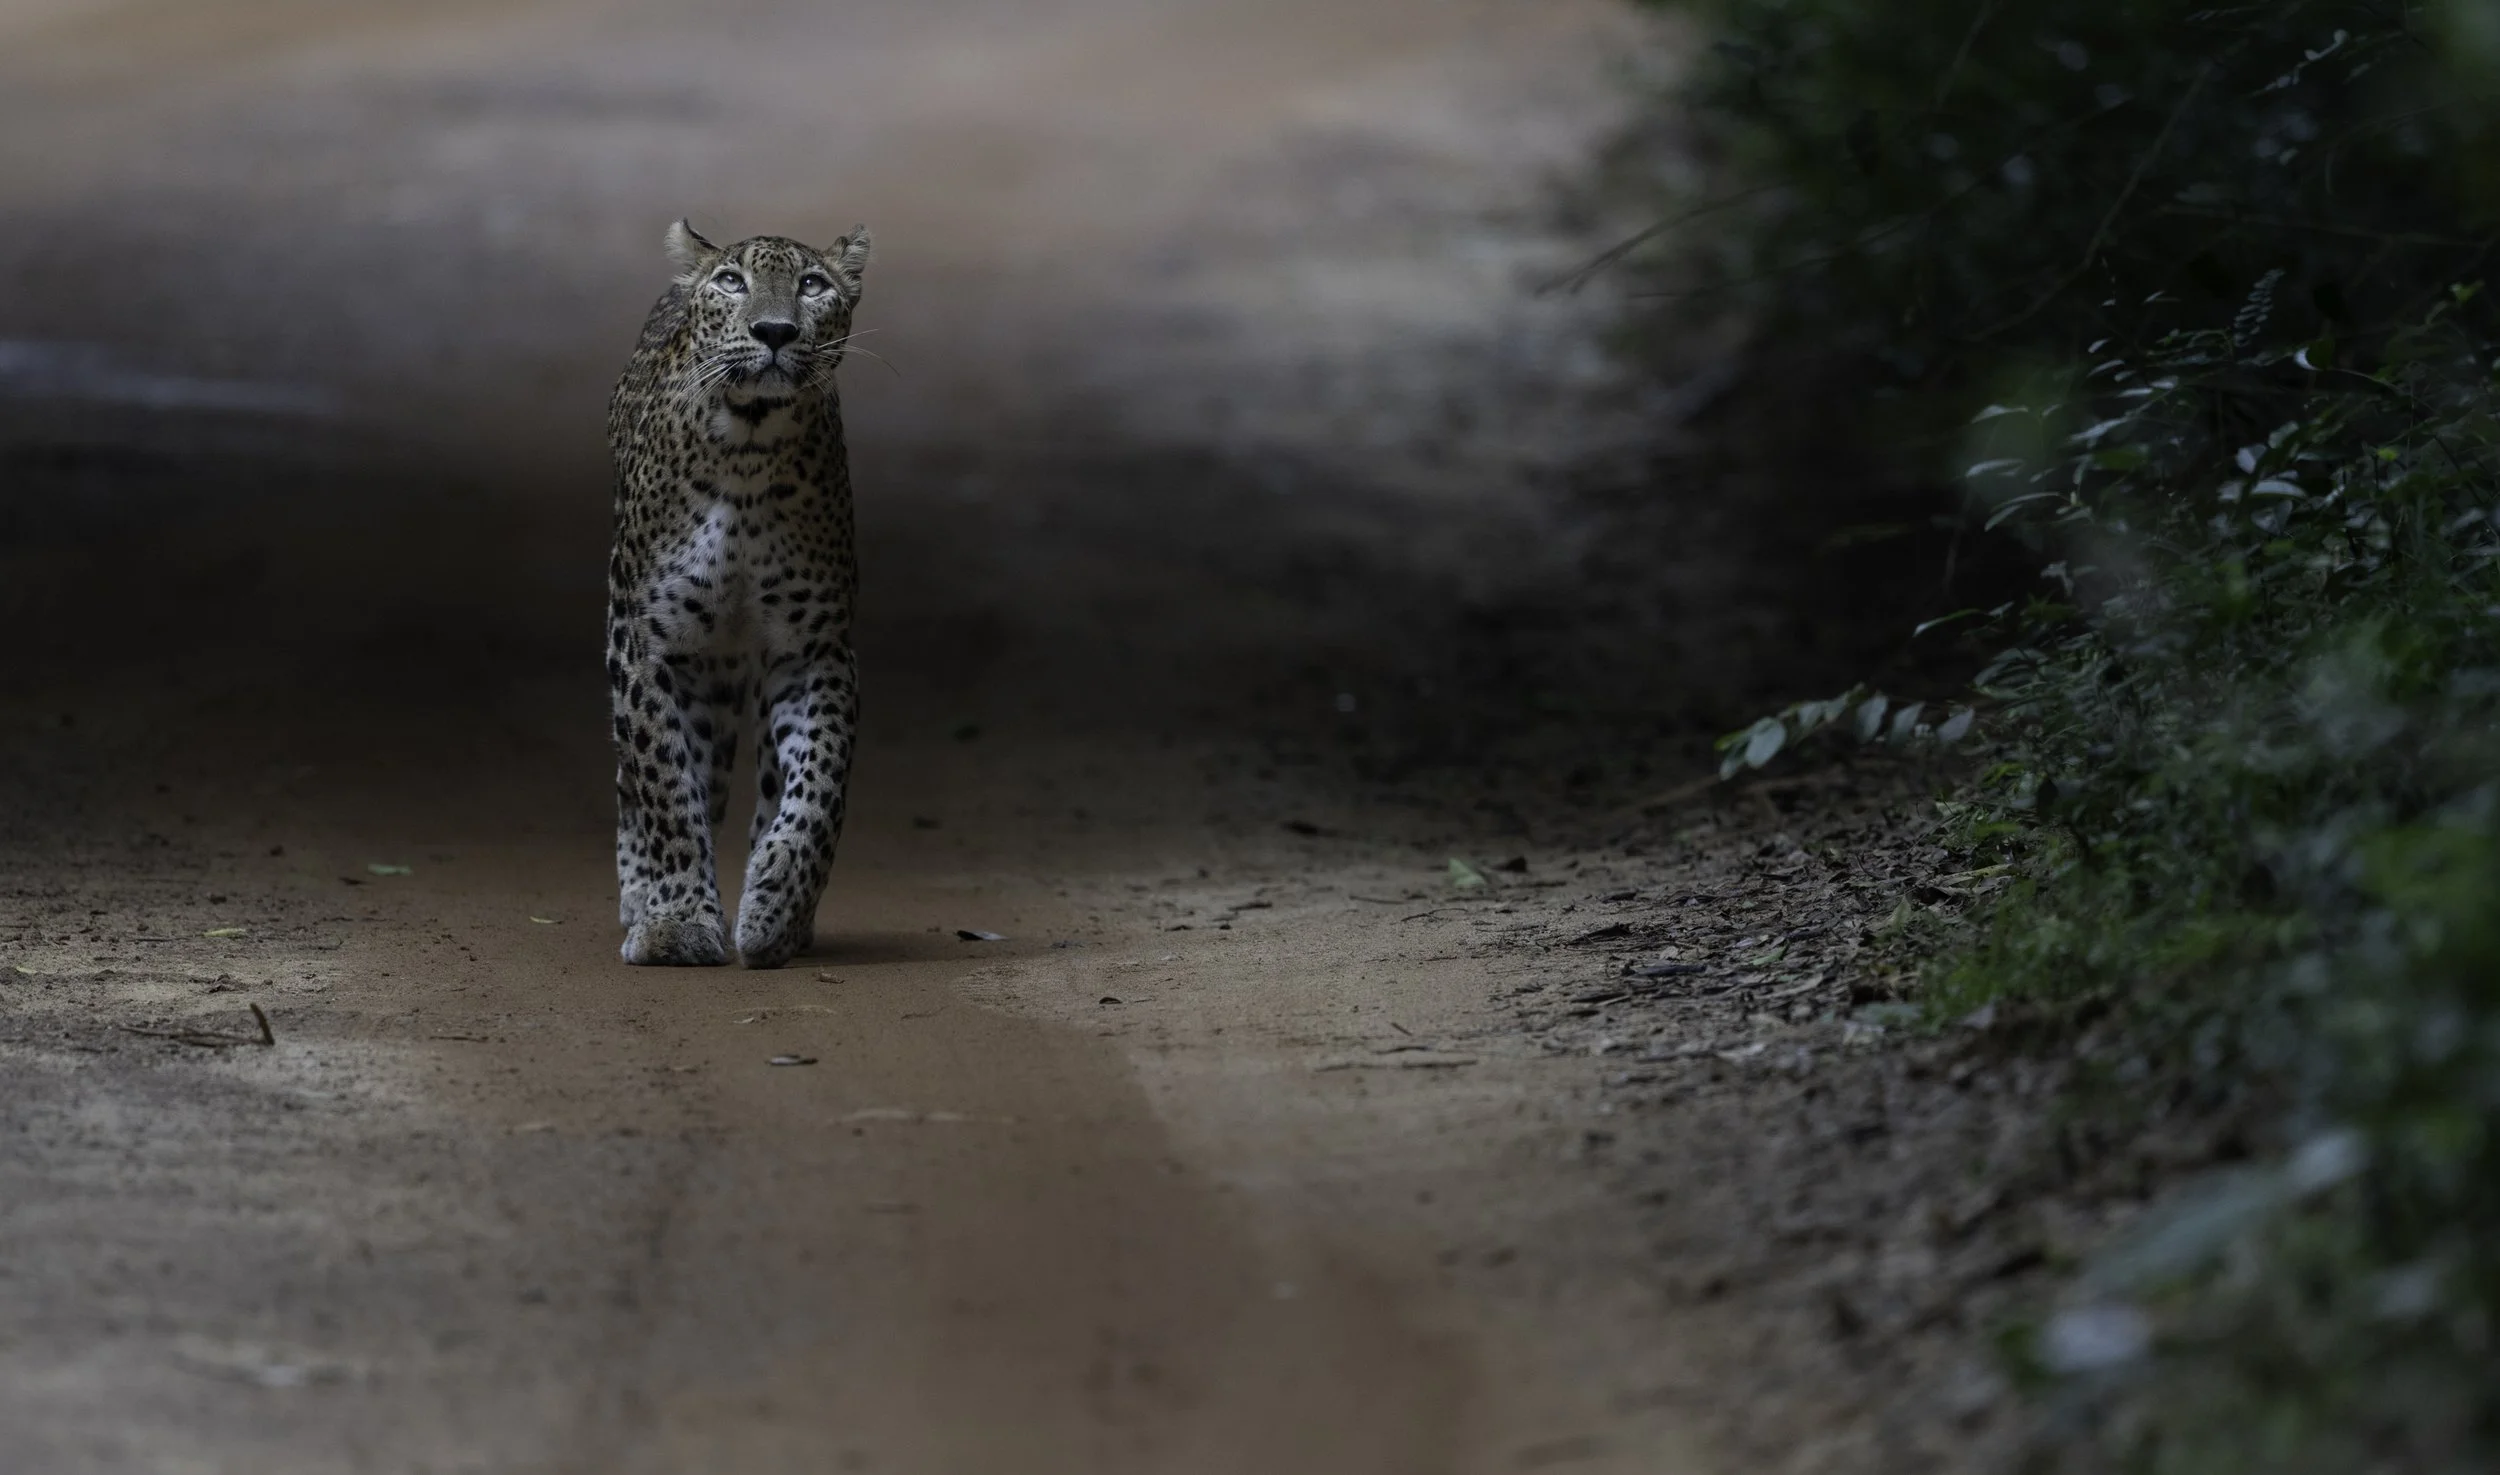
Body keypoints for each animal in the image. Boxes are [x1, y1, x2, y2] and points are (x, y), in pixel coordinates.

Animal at [606, 218, 872, 968]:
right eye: (732, 282)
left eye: (812, 285)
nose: (775, 330)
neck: (750, 448)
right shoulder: (648, 645)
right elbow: (665, 785)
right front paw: (675, 924)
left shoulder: (813, 649)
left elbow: (818, 788)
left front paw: (777, 904)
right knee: (643, 783)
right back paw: (640, 896)